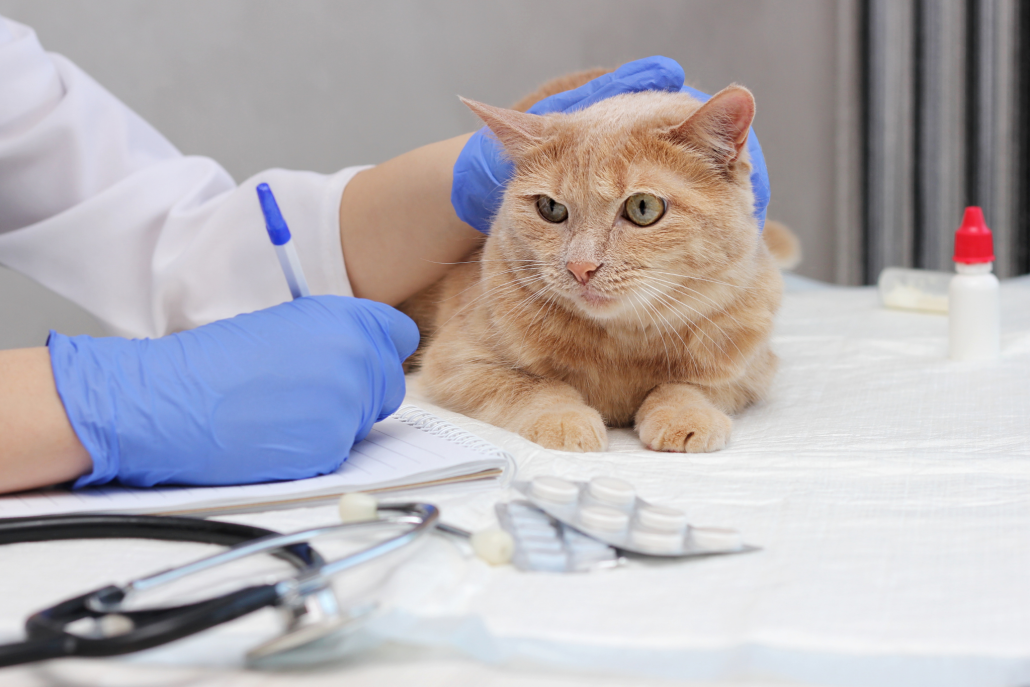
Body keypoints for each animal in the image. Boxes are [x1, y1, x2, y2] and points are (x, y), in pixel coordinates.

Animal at [401, 72, 786, 453]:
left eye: (643, 207)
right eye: (551, 208)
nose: (580, 267)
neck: (623, 345)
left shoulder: (750, 369)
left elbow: (688, 385)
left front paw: (685, 413)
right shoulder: (456, 361)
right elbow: (533, 385)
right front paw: (564, 419)